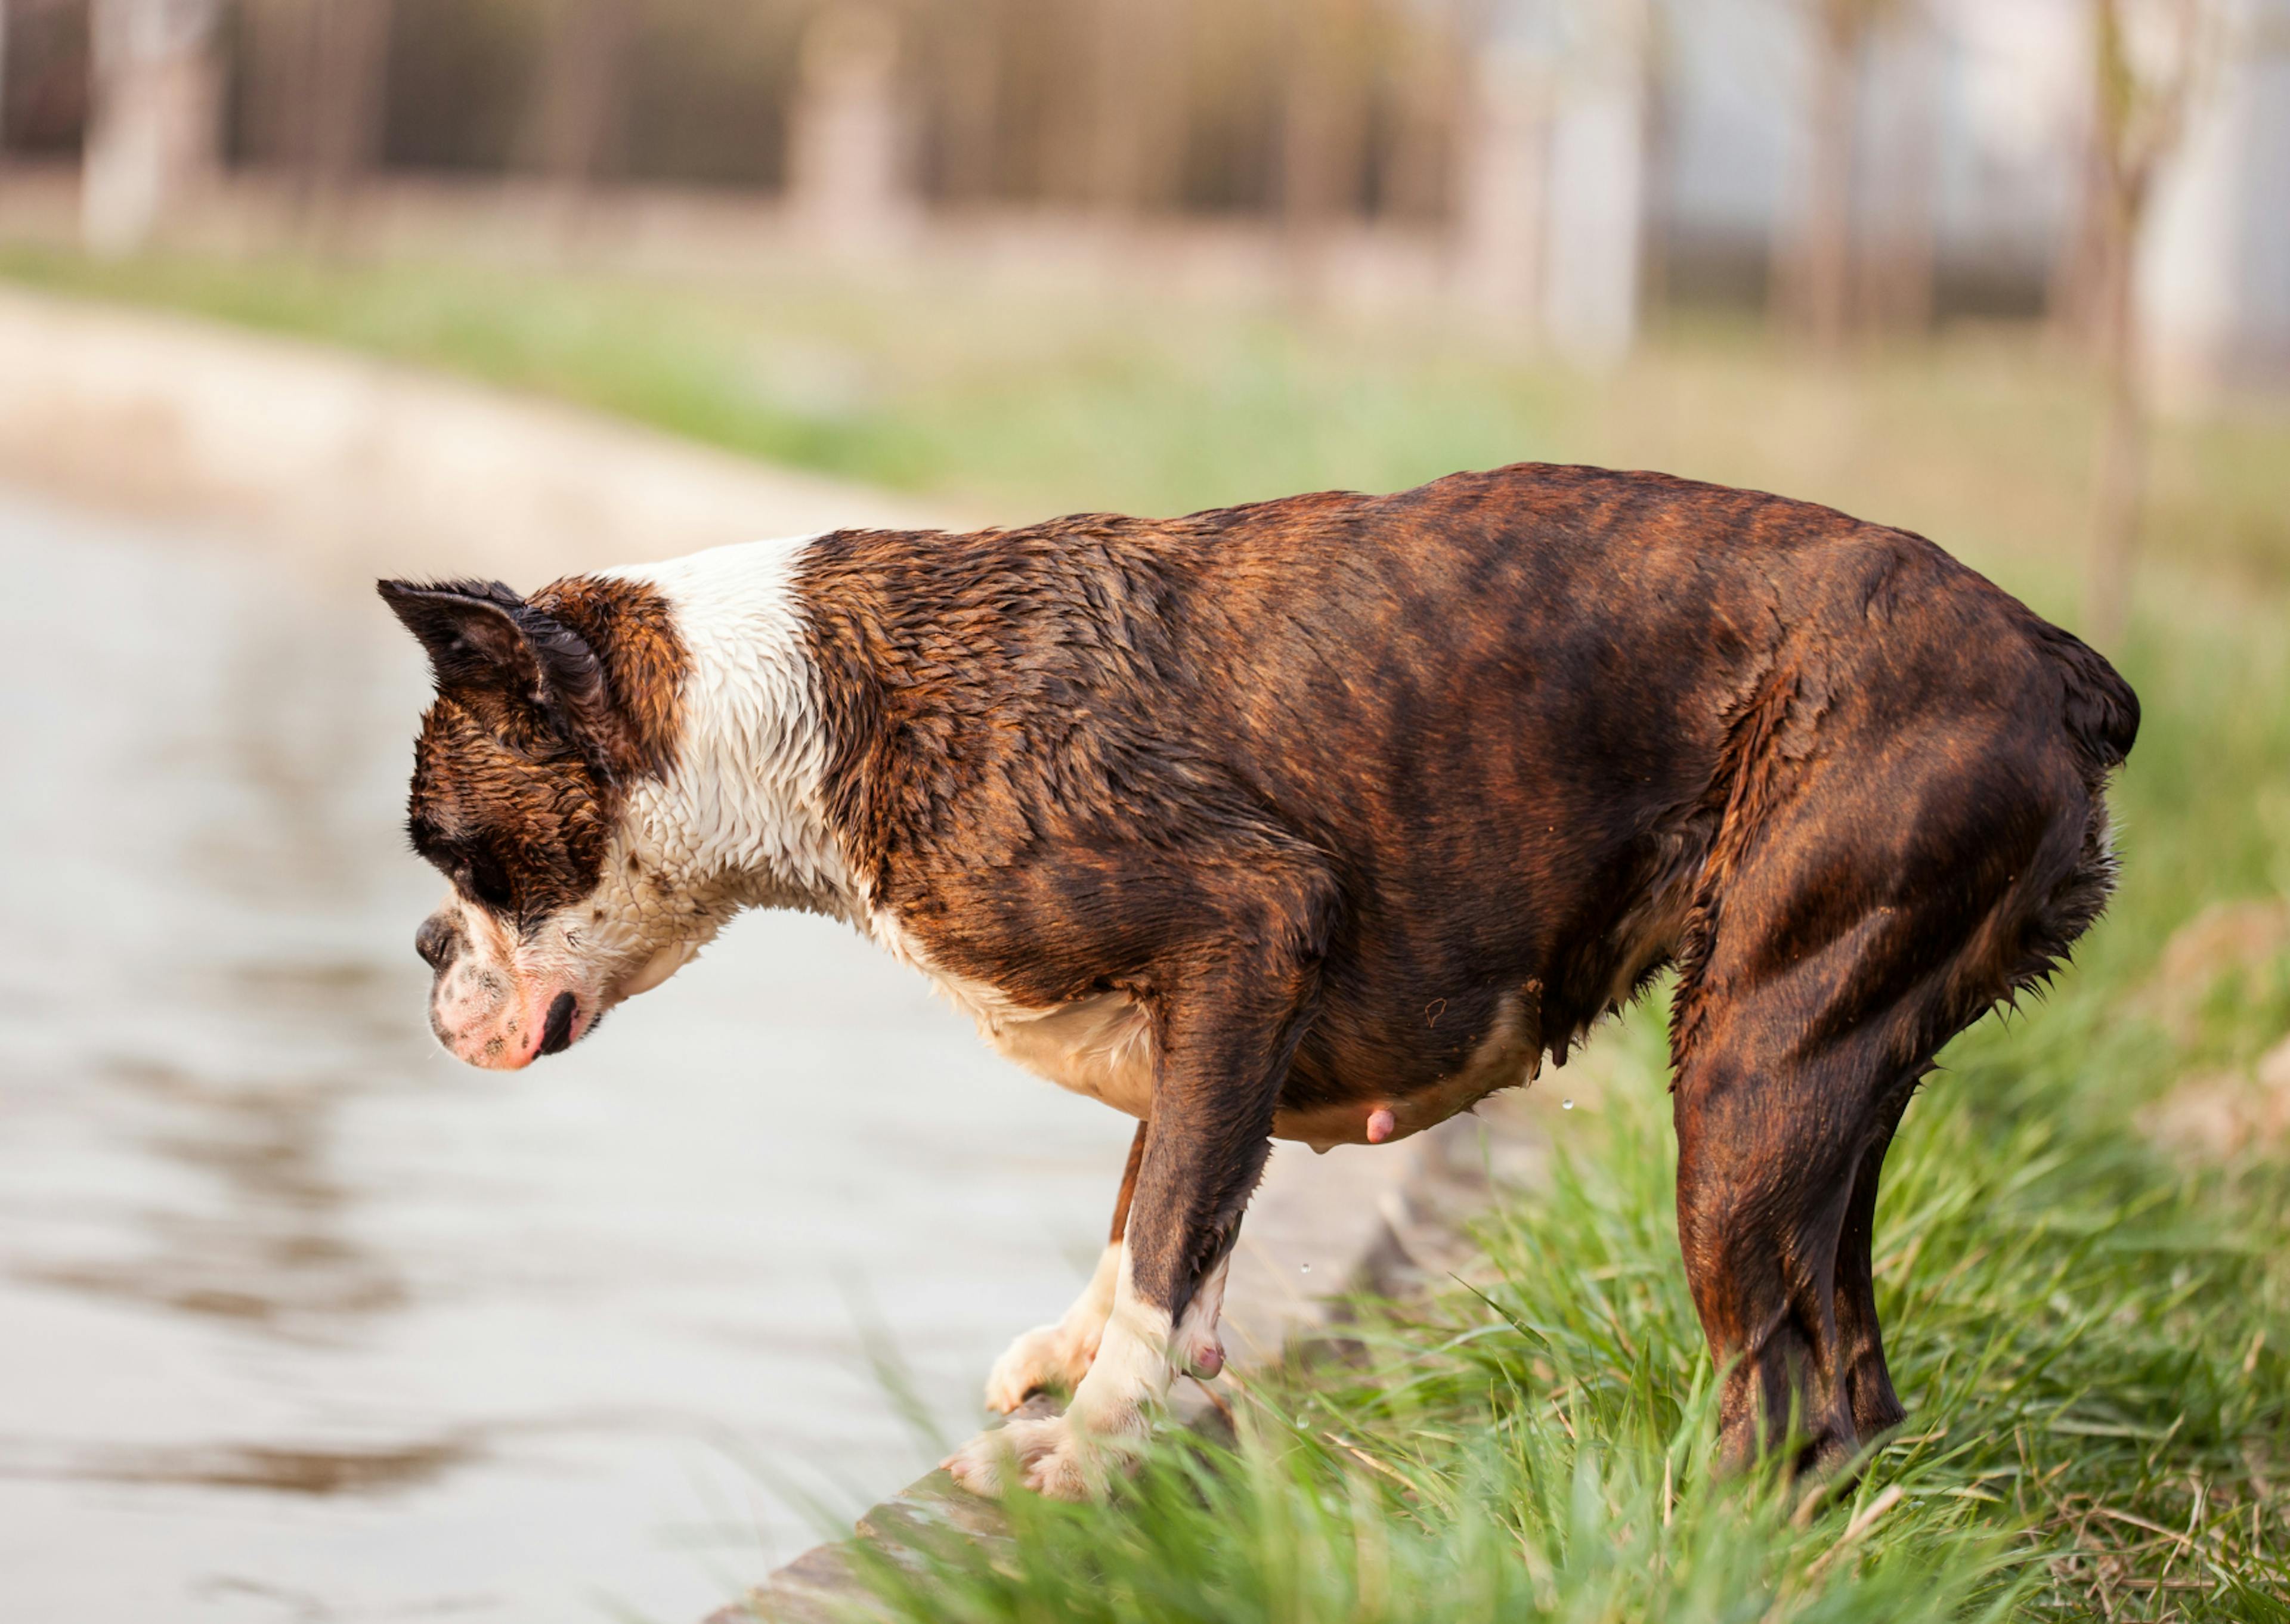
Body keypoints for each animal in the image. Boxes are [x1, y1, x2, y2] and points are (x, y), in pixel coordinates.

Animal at [385, 455, 2134, 1493]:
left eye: (450, 853)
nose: (418, 950)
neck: (776, 711)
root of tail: (2054, 661)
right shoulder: (1202, 1025)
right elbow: (1157, 1196)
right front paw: (1077, 1361)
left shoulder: (1244, 930)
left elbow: (1170, 1235)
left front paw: (1095, 1445)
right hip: (1830, 1076)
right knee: (1849, 1374)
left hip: (1747, 1071)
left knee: (1781, 1394)